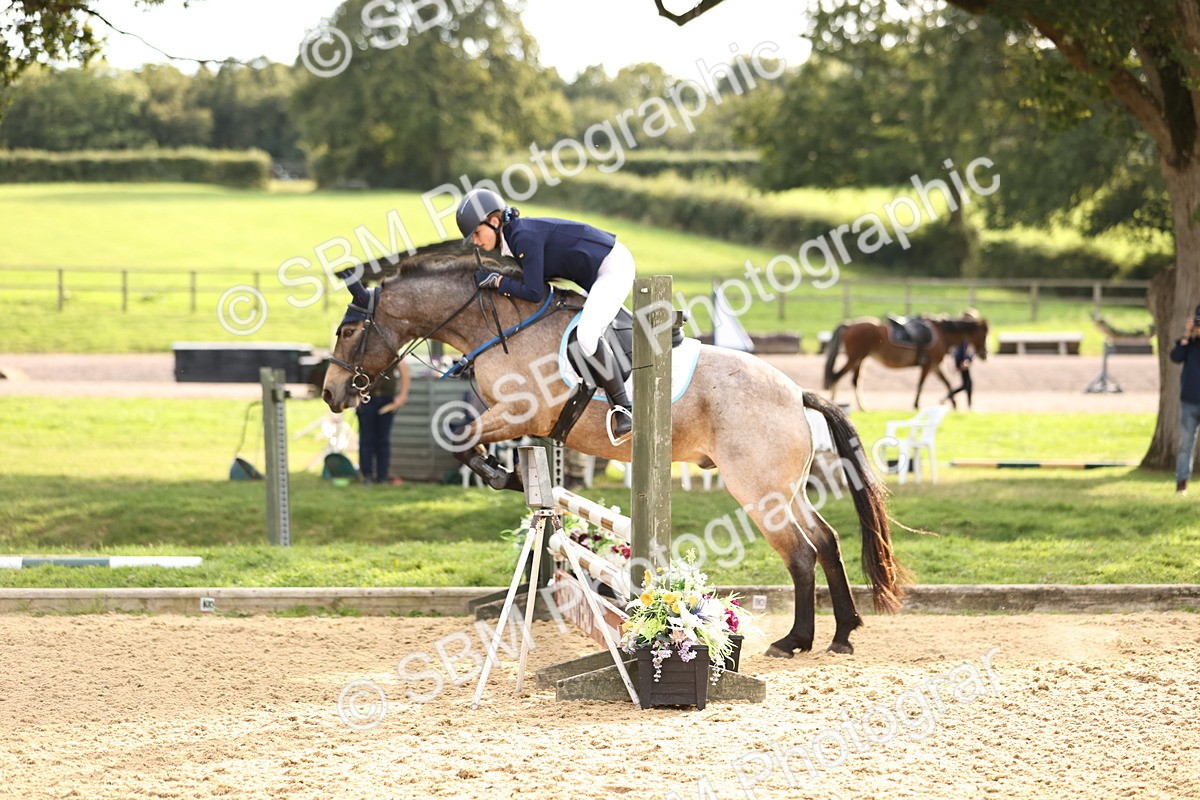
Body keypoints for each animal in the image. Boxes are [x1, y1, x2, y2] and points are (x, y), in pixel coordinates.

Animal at [321, 241, 907, 657]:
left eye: (348, 331)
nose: (331, 394)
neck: (498, 324)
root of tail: (796, 392)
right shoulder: (523, 423)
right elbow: (483, 450)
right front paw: (515, 477)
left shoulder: (519, 414)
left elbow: (457, 438)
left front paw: (501, 476)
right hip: (784, 489)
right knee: (827, 540)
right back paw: (843, 633)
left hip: (758, 490)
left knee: (802, 553)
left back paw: (796, 641)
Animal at [822, 315, 989, 411]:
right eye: (983, 334)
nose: (984, 354)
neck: (942, 334)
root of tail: (850, 324)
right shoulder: (928, 366)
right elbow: (921, 384)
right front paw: (916, 405)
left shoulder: (935, 366)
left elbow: (947, 383)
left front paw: (953, 403)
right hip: (855, 358)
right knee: (836, 376)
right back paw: (835, 403)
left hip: (859, 360)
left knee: (854, 381)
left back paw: (861, 406)